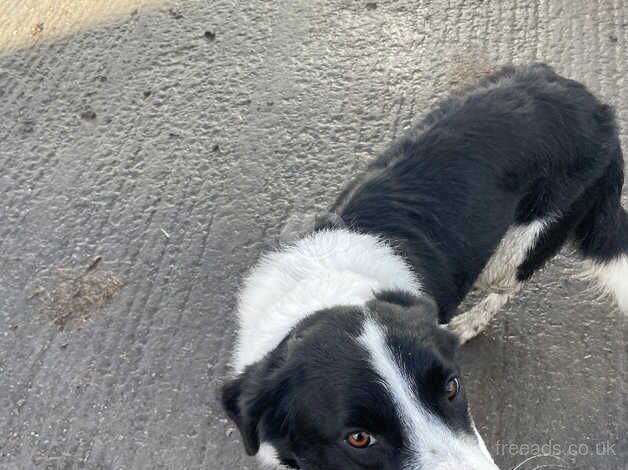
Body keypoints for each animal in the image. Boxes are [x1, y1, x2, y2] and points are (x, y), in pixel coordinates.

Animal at [220, 63, 624, 470]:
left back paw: (469, 323)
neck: (322, 290)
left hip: (512, 251)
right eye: (359, 438)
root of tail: (596, 107)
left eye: (452, 388)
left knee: (510, 285)